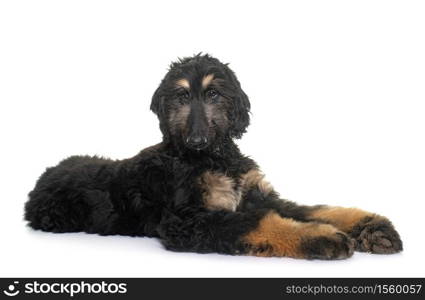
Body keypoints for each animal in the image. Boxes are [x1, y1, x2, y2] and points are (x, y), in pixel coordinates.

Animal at [24, 53, 402, 258]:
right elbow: (260, 223)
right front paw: (321, 237)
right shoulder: (188, 220)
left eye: (214, 94)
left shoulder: (256, 195)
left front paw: (371, 226)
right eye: (181, 97)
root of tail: (44, 174)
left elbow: (314, 209)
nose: (197, 140)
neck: (215, 158)